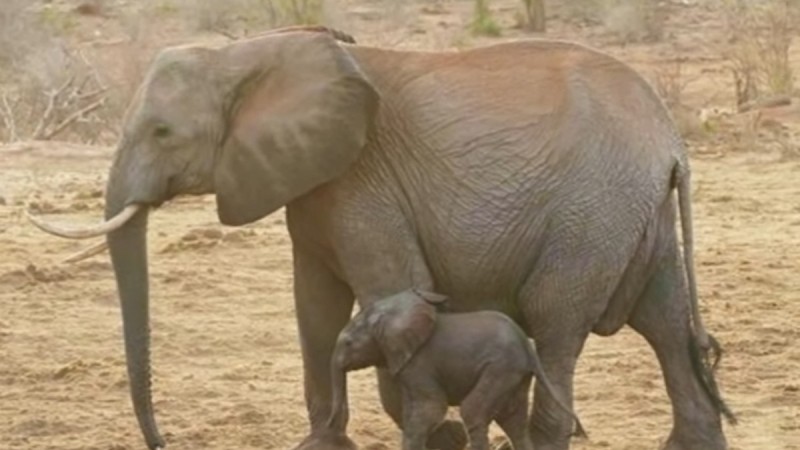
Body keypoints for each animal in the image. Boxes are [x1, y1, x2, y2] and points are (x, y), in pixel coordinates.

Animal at [328, 288, 584, 450]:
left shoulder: (420, 364)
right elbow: (412, 411)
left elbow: (431, 409)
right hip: (515, 374)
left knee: (474, 412)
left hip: (500, 368)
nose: (331, 425)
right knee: (513, 421)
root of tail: (528, 348)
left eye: (348, 343)